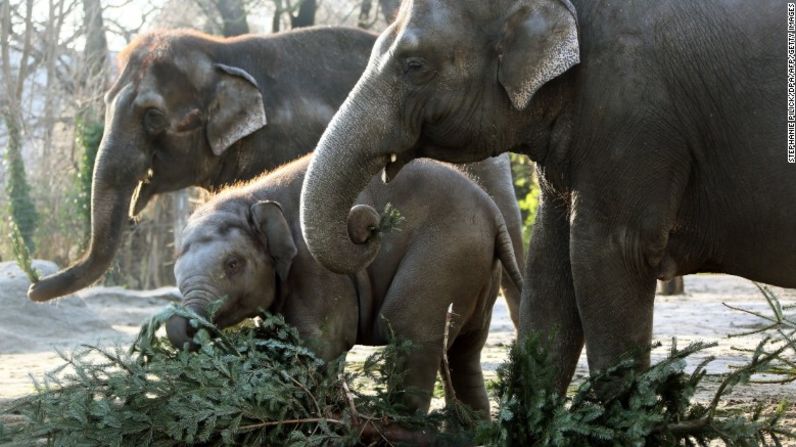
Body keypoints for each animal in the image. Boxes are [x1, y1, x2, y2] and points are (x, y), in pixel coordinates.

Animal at [164, 155, 524, 416]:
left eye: (233, 265)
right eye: (175, 271)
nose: (186, 326)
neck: (252, 197)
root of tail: (492, 211)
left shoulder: (315, 270)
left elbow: (324, 343)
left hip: (444, 256)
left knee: (410, 337)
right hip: (477, 271)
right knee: (466, 353)